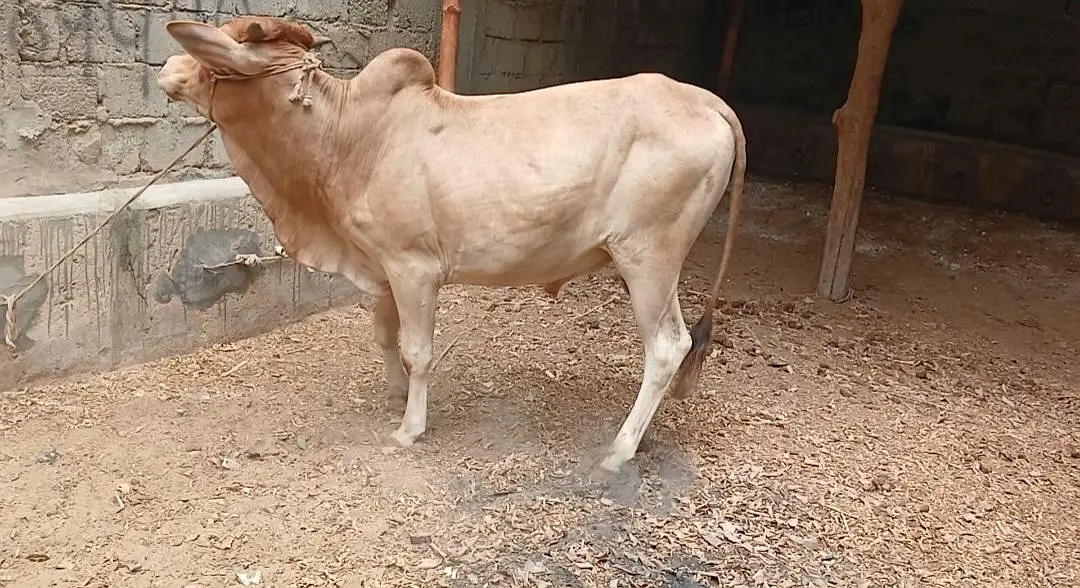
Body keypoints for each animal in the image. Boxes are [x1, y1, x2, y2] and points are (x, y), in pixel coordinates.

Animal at [157, 16, 746, 473]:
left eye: (218, 49)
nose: (168, 71)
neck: (348, 136)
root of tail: (705, 100)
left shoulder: (413, 267)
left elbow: (418, 350)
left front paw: (410, 427)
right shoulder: (381, 268)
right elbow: (384, 335)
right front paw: (396, 394)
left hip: (649, 258)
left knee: (667, 347)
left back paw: (620, 449)